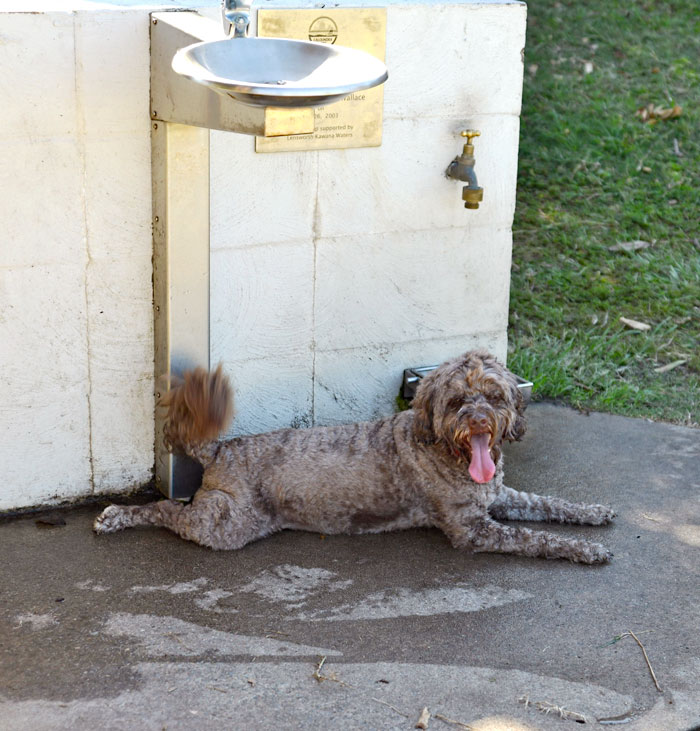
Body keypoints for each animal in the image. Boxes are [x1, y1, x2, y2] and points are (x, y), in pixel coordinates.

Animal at [93, 352, 612, 564]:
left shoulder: (499, 496)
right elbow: (535, 537)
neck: (440, 447)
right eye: (457, 402)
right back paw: (116, 516)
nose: (481, 422)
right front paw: (584, 550)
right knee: (167, 511)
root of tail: (221, 447)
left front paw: (593, 512)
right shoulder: (473, 529)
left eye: (494, 395)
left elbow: (550, 504)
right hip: (224, 526)